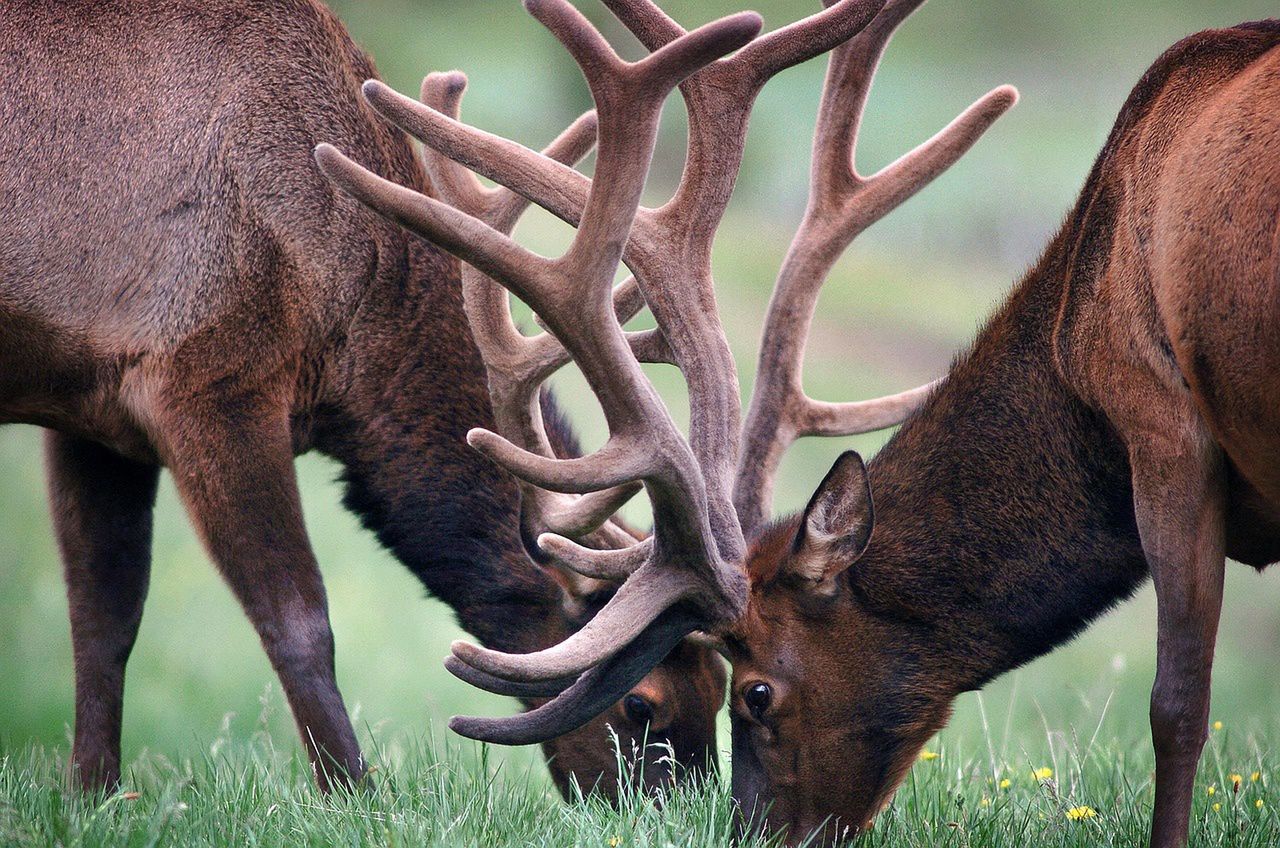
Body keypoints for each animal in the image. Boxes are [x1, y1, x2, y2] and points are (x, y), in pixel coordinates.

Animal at [0, 0, 747, 799]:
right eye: (643, 703)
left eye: (720, 686)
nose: (684, 812)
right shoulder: (205, 378)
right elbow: (298, 620)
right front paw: (353, 793)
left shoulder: (94, 406)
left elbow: (102, 619)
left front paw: (91, 794)